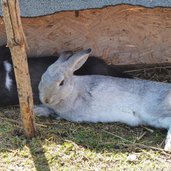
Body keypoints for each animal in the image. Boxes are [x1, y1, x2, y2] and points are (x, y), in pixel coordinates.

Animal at [36, 48, 171, 151]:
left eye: (61, 83)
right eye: (42, 78)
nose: (46, 99)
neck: (73, 90)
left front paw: (38, 110)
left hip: (154, 111)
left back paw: (167, 147)